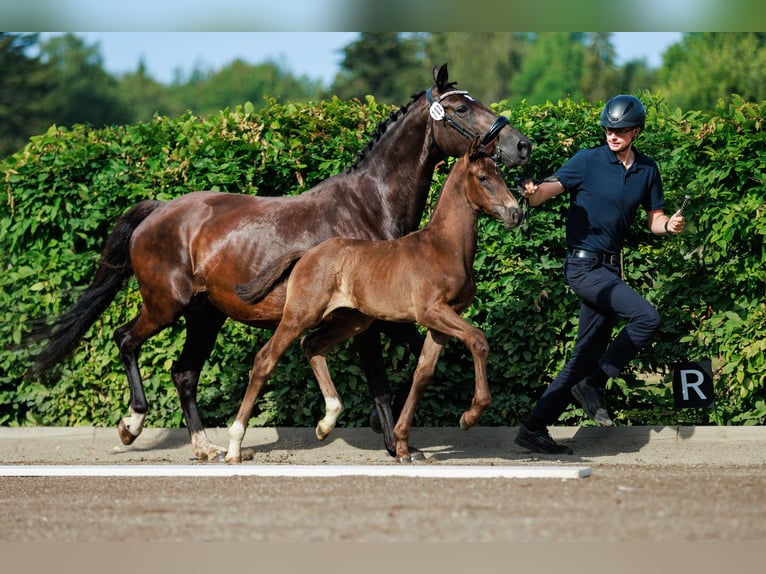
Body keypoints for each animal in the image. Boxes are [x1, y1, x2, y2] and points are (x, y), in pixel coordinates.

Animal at [228, 135, 520, 464]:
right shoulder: (432, 311)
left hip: (352, 321)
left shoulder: (441, 323)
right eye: (483, 178)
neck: (444, 246)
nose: (516, 213)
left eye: (501, 175)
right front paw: (469, 416)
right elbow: (478, 340)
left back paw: (326, 423)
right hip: (300, 315)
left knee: (312, 345)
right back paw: (234, 447)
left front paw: (403, 445)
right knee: (266, 359)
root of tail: (306, 254)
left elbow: (423, 372)